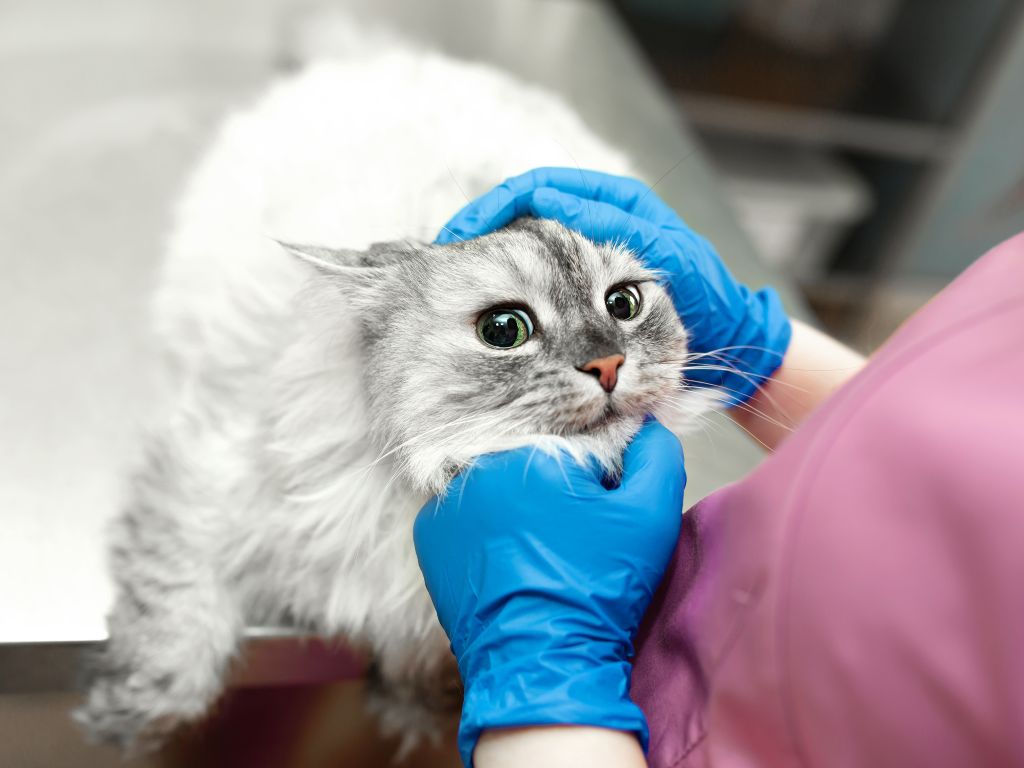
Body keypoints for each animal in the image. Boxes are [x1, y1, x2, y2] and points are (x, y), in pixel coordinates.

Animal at [74, 19, 712, 757]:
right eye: (505, 329)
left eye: (623, 305)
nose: (608, 364)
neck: (424, 485)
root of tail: (388, 55)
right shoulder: (199, 484)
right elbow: (177, 635)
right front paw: (123, 719)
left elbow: (431, 666)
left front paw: (408, 705)